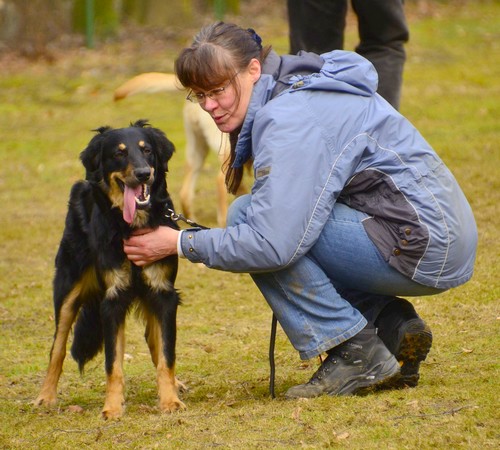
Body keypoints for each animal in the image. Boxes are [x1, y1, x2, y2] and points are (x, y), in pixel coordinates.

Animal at [34, 118, 186, 418]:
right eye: (119, 153)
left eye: (147, 150)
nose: (143, 174)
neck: (131, 225)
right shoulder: (113, 298)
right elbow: (112, 362)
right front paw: (112, 408)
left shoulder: (163, 293)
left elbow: (166, 353)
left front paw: (170, 400)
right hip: (67, 290)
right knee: (57, 347)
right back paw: (46, 395)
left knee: (153, 339)